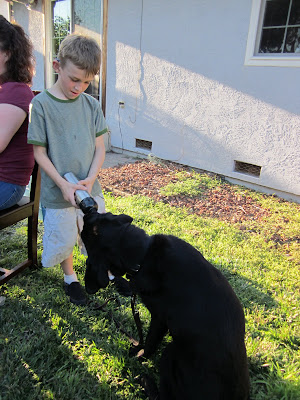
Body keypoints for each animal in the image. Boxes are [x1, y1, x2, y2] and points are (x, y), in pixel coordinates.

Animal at [81, 211, 251, 398]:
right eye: (103, 216)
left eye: (86, 233)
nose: (87, 213)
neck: (143, 255)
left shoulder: (159, 319)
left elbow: (149, 344)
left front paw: (138, 356)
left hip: (170, 352)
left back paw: (145, 381)